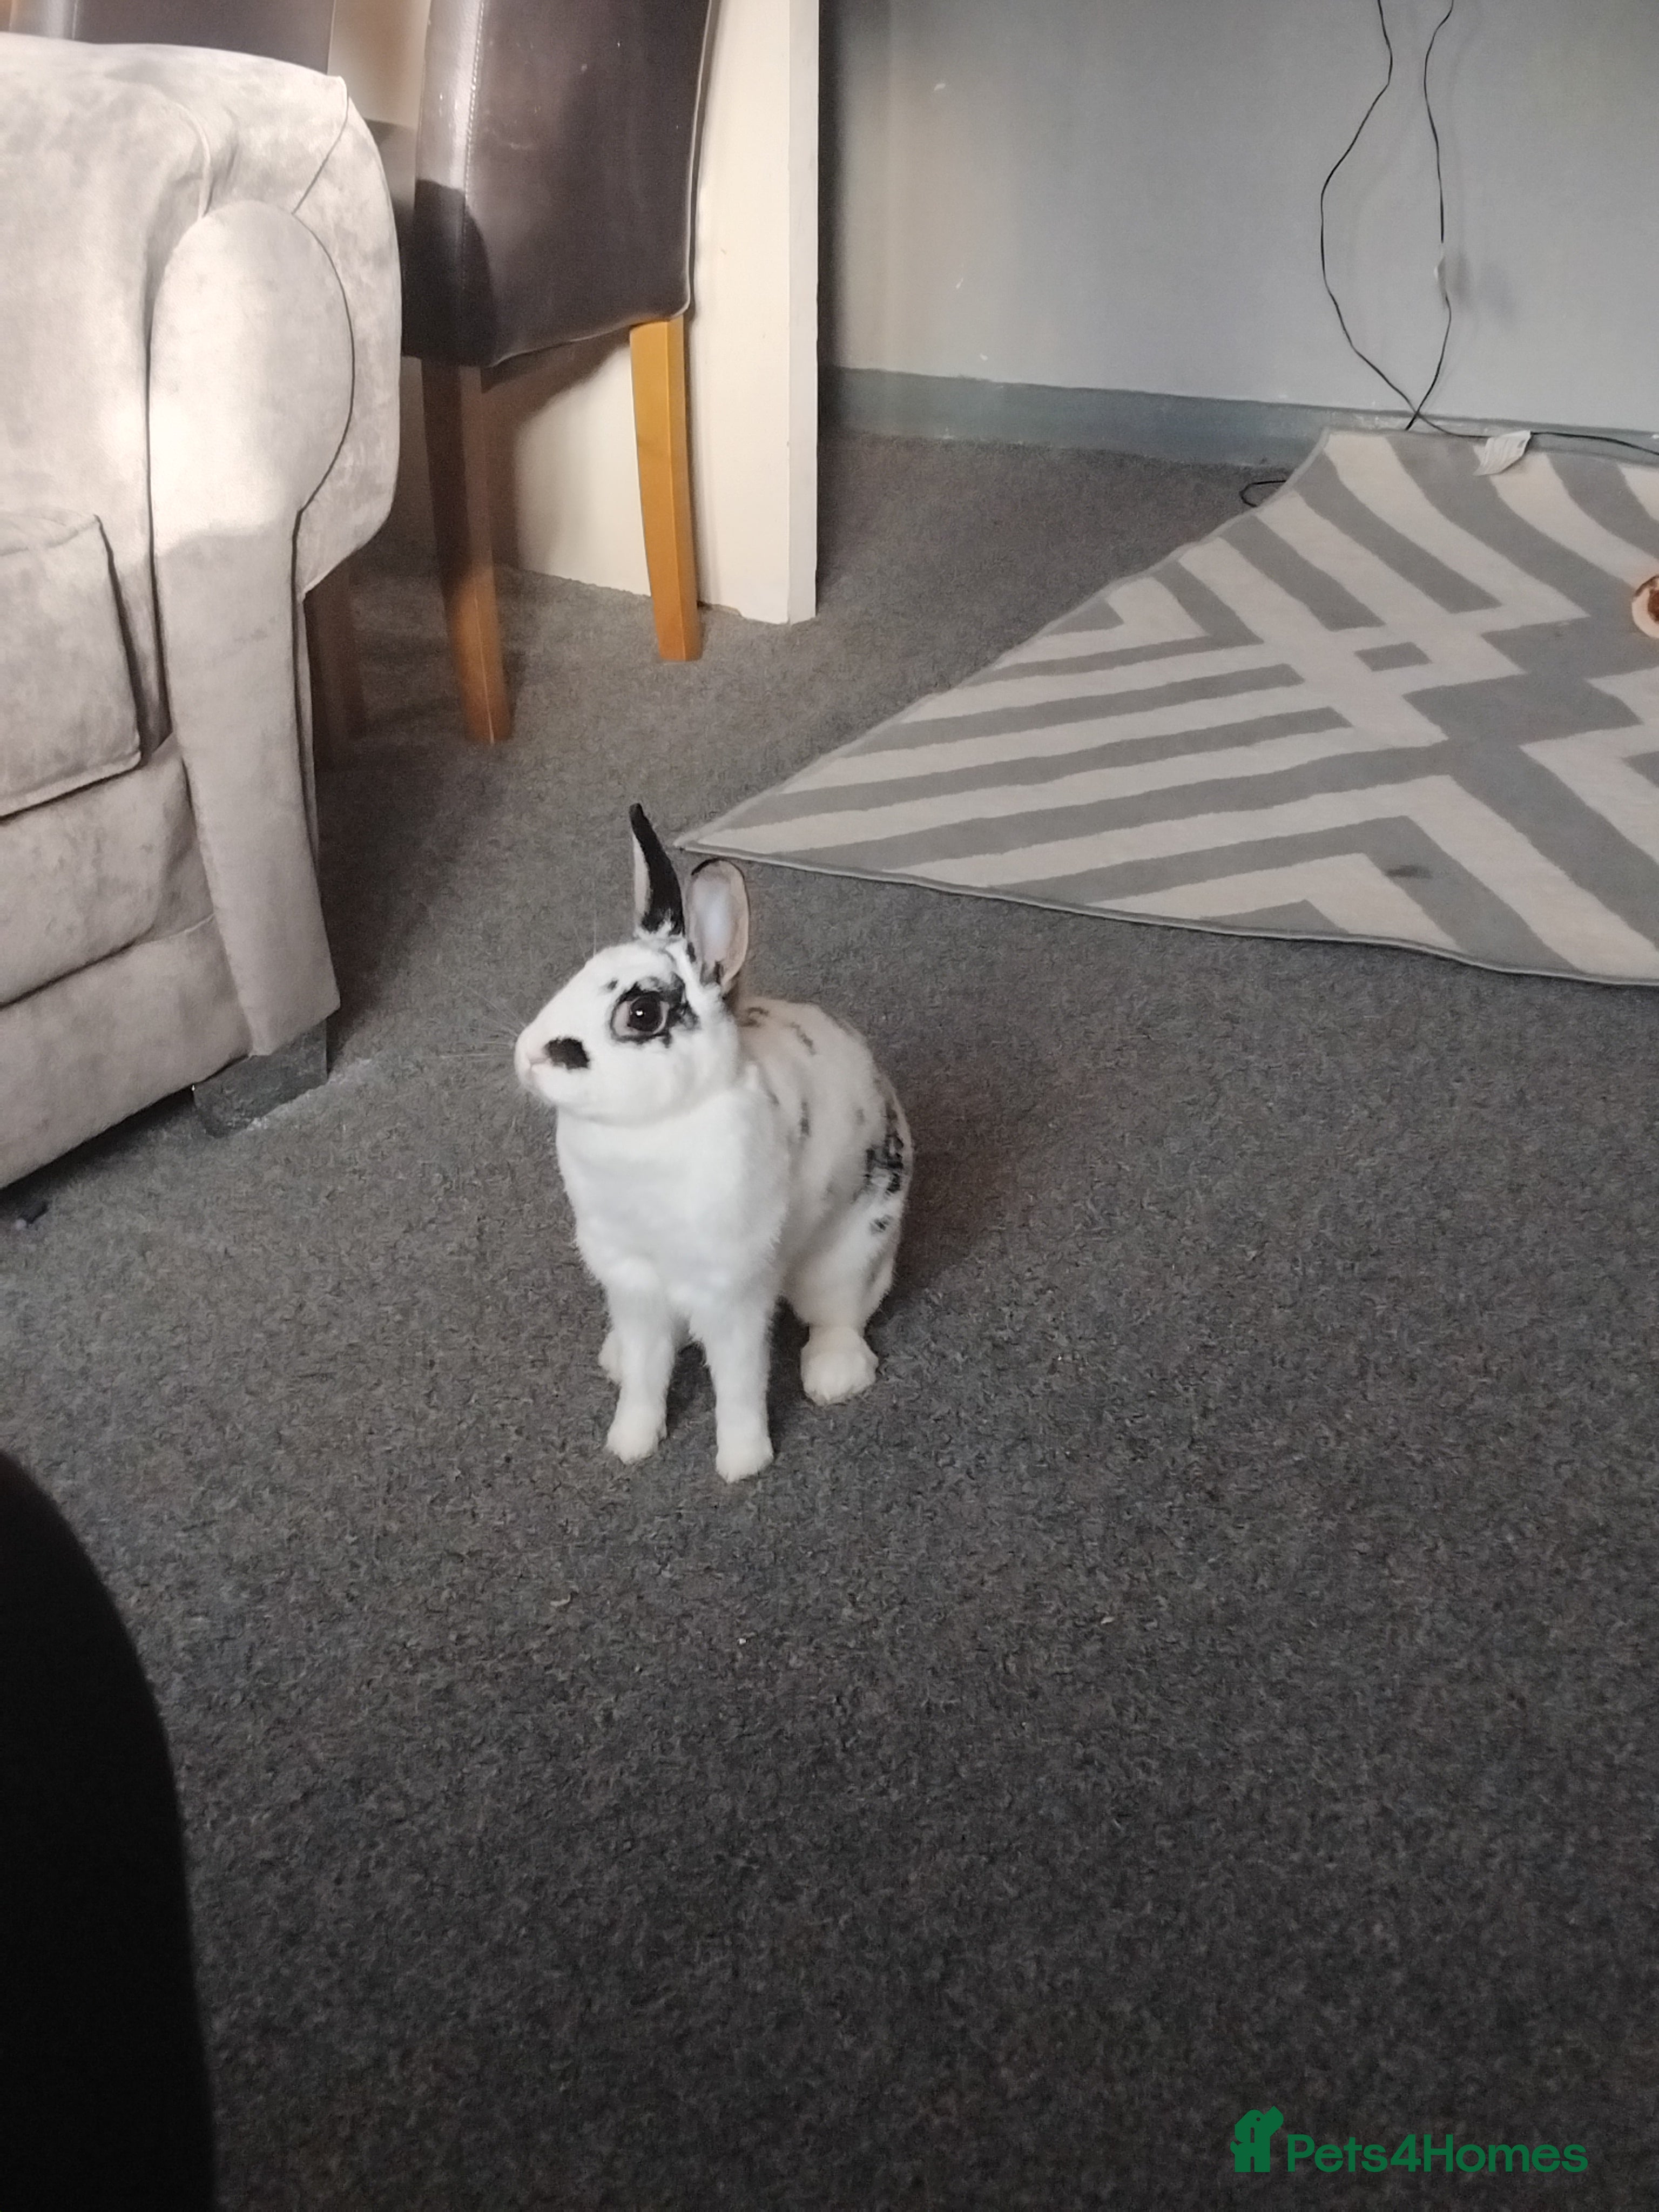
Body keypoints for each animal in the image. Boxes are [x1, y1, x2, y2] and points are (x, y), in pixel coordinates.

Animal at [513, 806, 912, 1482]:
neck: (651, 1128)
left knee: (839, 1317)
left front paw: (743, 1462)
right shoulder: (631, 1279)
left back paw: (835, 1377)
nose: (528, 1057)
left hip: (849, 1256)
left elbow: (739, 1379)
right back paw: (614, 1356)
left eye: (642, 1014)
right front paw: (630, 1443)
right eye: (578, 976)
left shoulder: (732, 1287)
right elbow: (647, 1374)